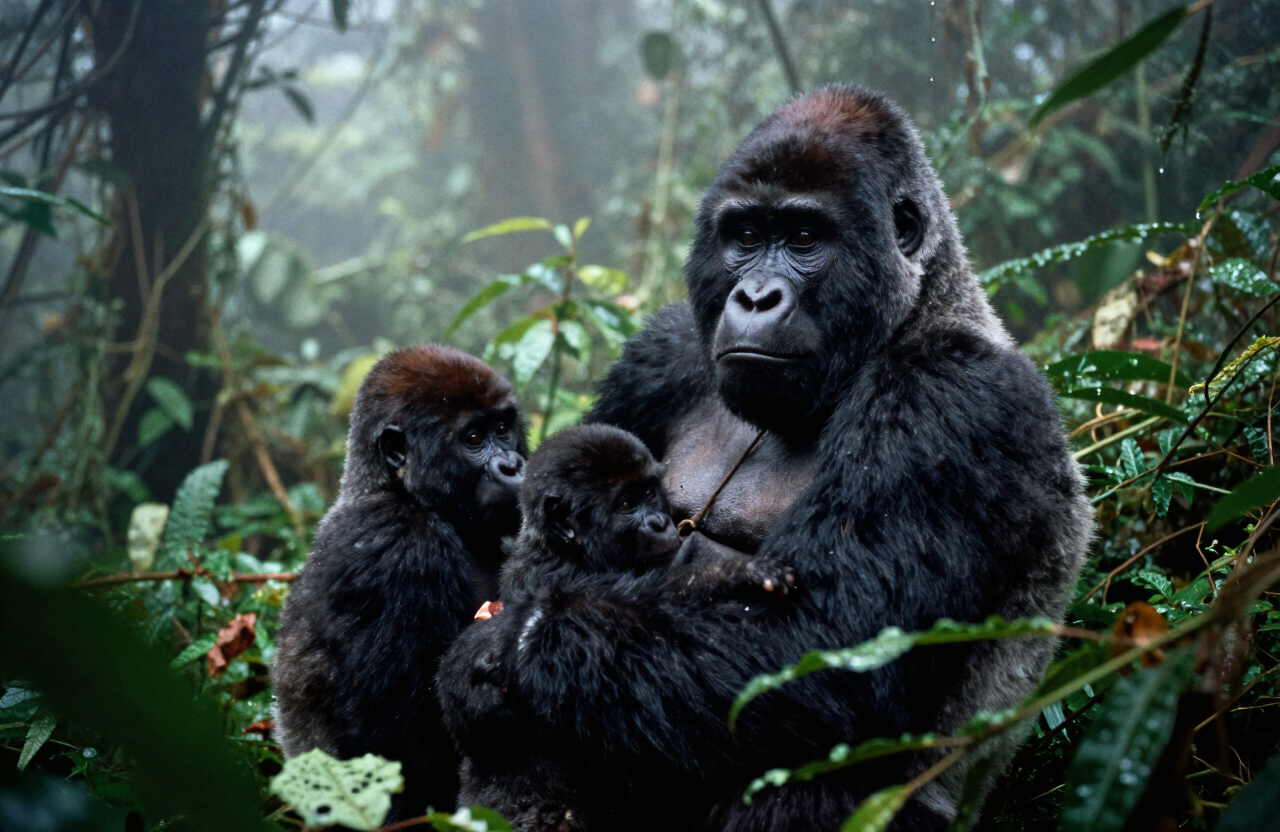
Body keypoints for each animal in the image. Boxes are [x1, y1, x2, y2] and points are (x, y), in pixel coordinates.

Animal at [272, 345, 528, 822]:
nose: (514, 466)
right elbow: (392, 745)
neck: (395, 488)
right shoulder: (397, 547)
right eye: (473, 439)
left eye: (503, 429)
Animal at [438, 424, 796, 831]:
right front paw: (738, 574)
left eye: (650, 493)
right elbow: (646, 610)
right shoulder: (571, 578)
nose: (660, 523)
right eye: (626, 505)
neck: (563, 546)